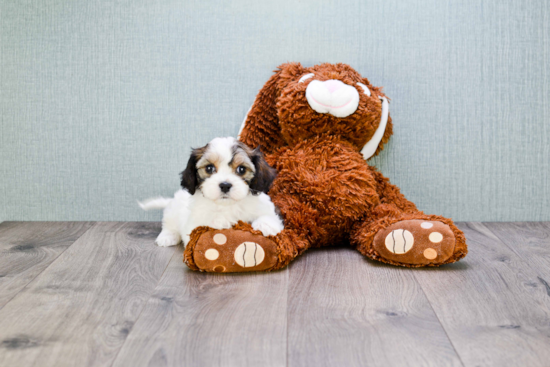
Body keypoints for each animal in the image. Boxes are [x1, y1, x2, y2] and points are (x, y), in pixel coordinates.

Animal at [139, 137, 284, 247]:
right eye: (209, 168)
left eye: (241, 169)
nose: (225, 185)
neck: (227, 206)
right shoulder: (194, 223)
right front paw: (221, 221)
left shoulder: (267, 208)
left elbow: (269, 216)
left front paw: (264, 225)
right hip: (173, 211)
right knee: (169, 224)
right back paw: (167, 237)